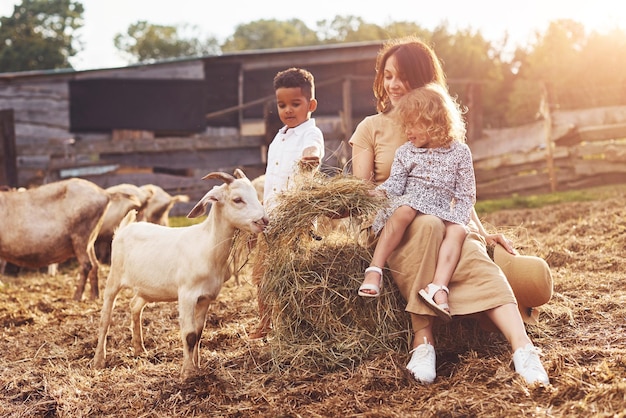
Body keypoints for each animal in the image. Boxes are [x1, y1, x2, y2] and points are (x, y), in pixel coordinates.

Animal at [91, 169, 266, 378]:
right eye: (237, 199)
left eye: (255, 195)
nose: (263, 220)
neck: (206, 245)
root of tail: (124, 228)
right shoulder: (187, 295)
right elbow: (189, 334)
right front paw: (187, 373)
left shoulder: (205, 298)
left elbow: (199, 332)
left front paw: (197, 366)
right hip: (114, 277)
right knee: (105, 319)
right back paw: (99, 360)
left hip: (146, 288)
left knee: (135, 306)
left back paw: (139, 349)